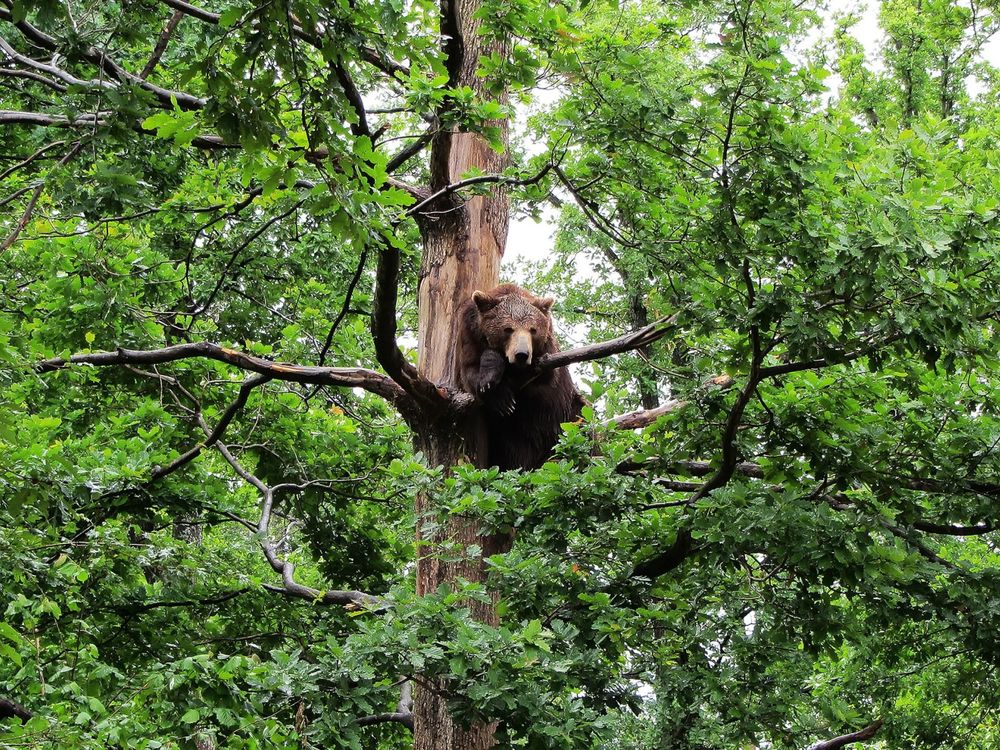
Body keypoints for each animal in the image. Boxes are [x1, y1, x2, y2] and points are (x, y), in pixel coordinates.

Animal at [456, 283, 584, 471]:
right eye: (508, 329)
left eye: (533, 330)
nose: (522, 354)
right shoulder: (469, 336)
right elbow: (471, 373)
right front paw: (500, 396)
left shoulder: (547, 357)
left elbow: (544, 377)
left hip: (567, 417)